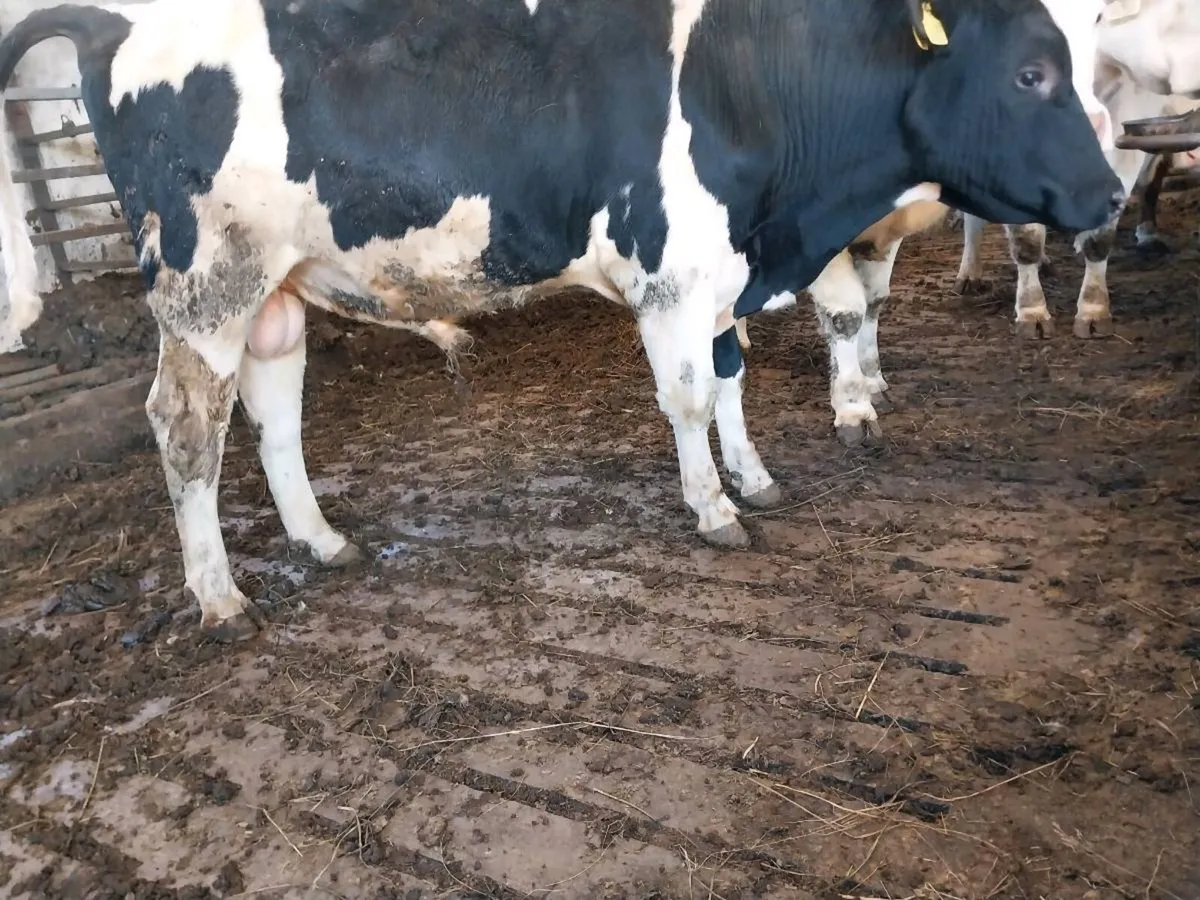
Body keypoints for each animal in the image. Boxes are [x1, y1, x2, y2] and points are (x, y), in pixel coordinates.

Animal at [0, 0, 1124, 638]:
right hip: (206, 286)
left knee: (272, 418)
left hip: (273, 289)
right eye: (1032, 72)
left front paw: (756, 477)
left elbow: (732, 378)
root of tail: (120, 24)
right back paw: (219, 598)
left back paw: (321, 542)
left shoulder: (724, 270)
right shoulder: (671, 273)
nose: (1114, 194)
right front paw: (713, 508)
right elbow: (687, 396)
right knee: (186, 429)